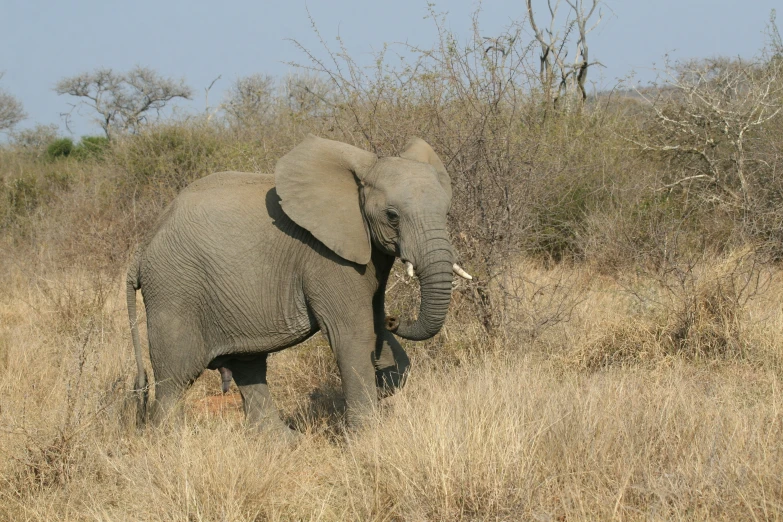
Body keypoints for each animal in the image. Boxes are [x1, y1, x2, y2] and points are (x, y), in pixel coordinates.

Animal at [127, 132, 472, 432]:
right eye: (392, 216)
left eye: (446, 211)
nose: (395, 319)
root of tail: (141, 250)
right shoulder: (326, 258)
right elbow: (354, 336)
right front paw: (367, 436)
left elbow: (377, 335)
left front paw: (385, 380)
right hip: (174, 289)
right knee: (175, 378)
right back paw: (171, 442)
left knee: (247, 366)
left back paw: (283, 444)